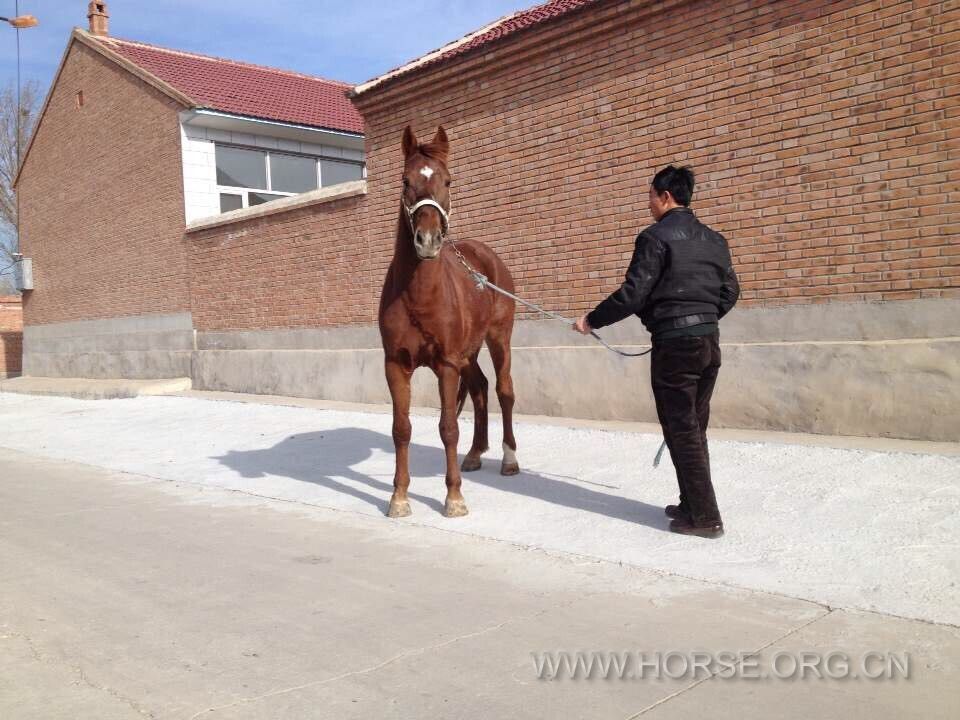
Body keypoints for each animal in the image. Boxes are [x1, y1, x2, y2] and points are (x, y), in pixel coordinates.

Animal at [378, 126, 520, 520]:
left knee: (503, 391)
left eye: (448, 180)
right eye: (405, 180)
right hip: (467, 353)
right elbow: (401, 428)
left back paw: (509, 459)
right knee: (480, 388)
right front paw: (399, 498)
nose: (428, 241)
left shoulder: (445, 365)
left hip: (498, 339)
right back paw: (474, 454)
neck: (419, 296)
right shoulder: (395, 365)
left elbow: (448, 428)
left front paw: (454, 498)